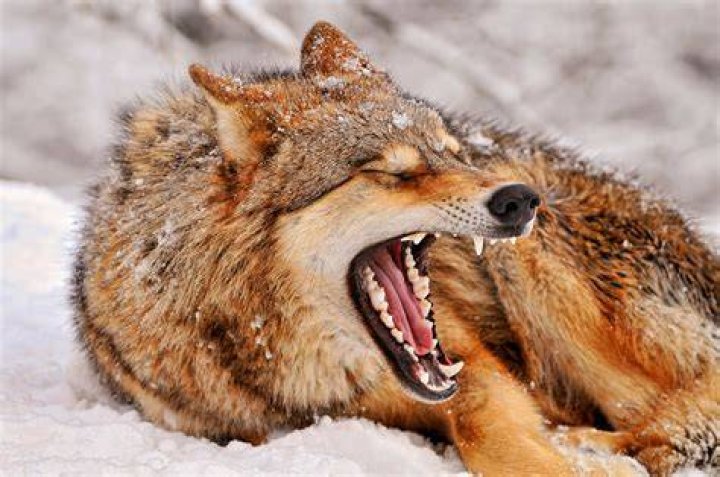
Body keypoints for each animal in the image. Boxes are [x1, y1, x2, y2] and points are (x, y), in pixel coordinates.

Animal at [72, 21, 718, 475]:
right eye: (394, 172)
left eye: (452, 153)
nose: (519, 200)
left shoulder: (470, 362)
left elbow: (496, 441)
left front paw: (574, 462)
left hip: (541, 273)